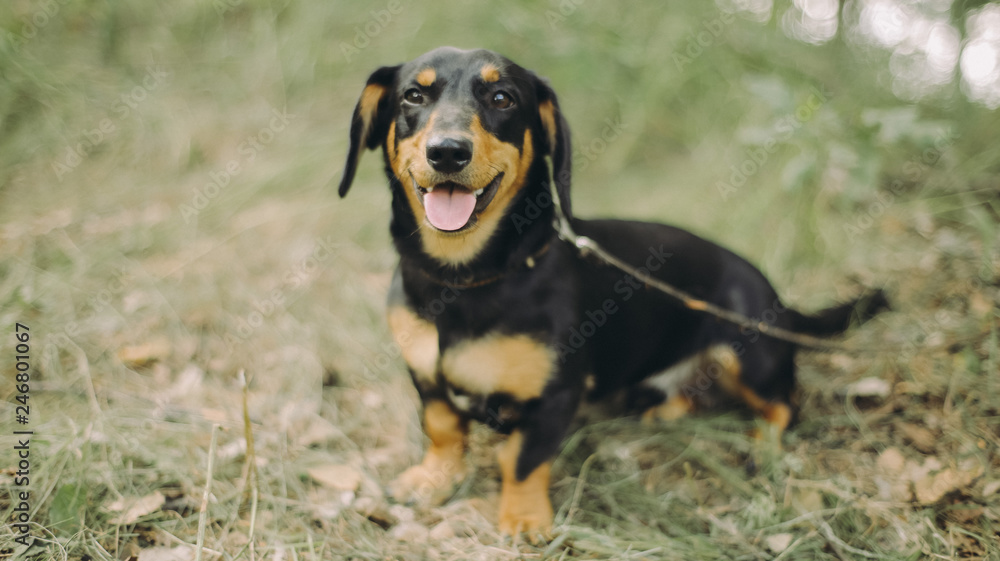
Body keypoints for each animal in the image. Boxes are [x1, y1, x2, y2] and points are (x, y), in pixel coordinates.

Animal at [340, 46, 888, 536]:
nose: (448, 152)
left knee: (784, 406)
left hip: (751, 355)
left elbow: (522, 459)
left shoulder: (556, 396)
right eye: (414, 95)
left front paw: (523, 518)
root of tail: (779, 300)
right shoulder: (426, 378)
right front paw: (432, 479)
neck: (464, 279)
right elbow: (443, 430)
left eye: (501, 98)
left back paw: (762, 445)